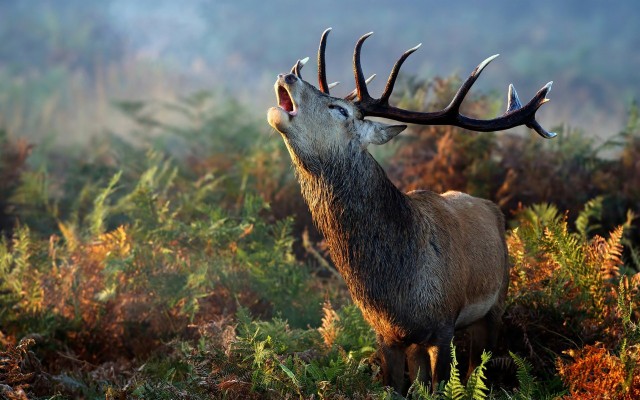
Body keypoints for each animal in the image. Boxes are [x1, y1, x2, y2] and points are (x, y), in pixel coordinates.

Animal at [266, 28, 556, 394]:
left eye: (339, 109)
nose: (287, 75)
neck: (396, 288)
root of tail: (492, 208)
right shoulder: (385, 334)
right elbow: (398, 387)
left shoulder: (444, 324)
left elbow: (445, 385)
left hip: (495, 304)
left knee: (478, 369)